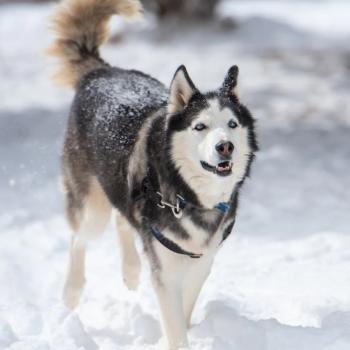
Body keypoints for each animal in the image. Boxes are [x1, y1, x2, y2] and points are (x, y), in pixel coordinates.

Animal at [48, 0, 258, 348]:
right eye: (200, 126)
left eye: (232, 124)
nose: (225, 147)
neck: (189, 196)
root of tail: (102, 71)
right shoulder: (166, 269)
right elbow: (174, 325)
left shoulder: (201, 260)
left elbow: (185, 309)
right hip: (91, 208)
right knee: (80, 236)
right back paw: (72, 290)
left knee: (122, 218)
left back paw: (131, 270)